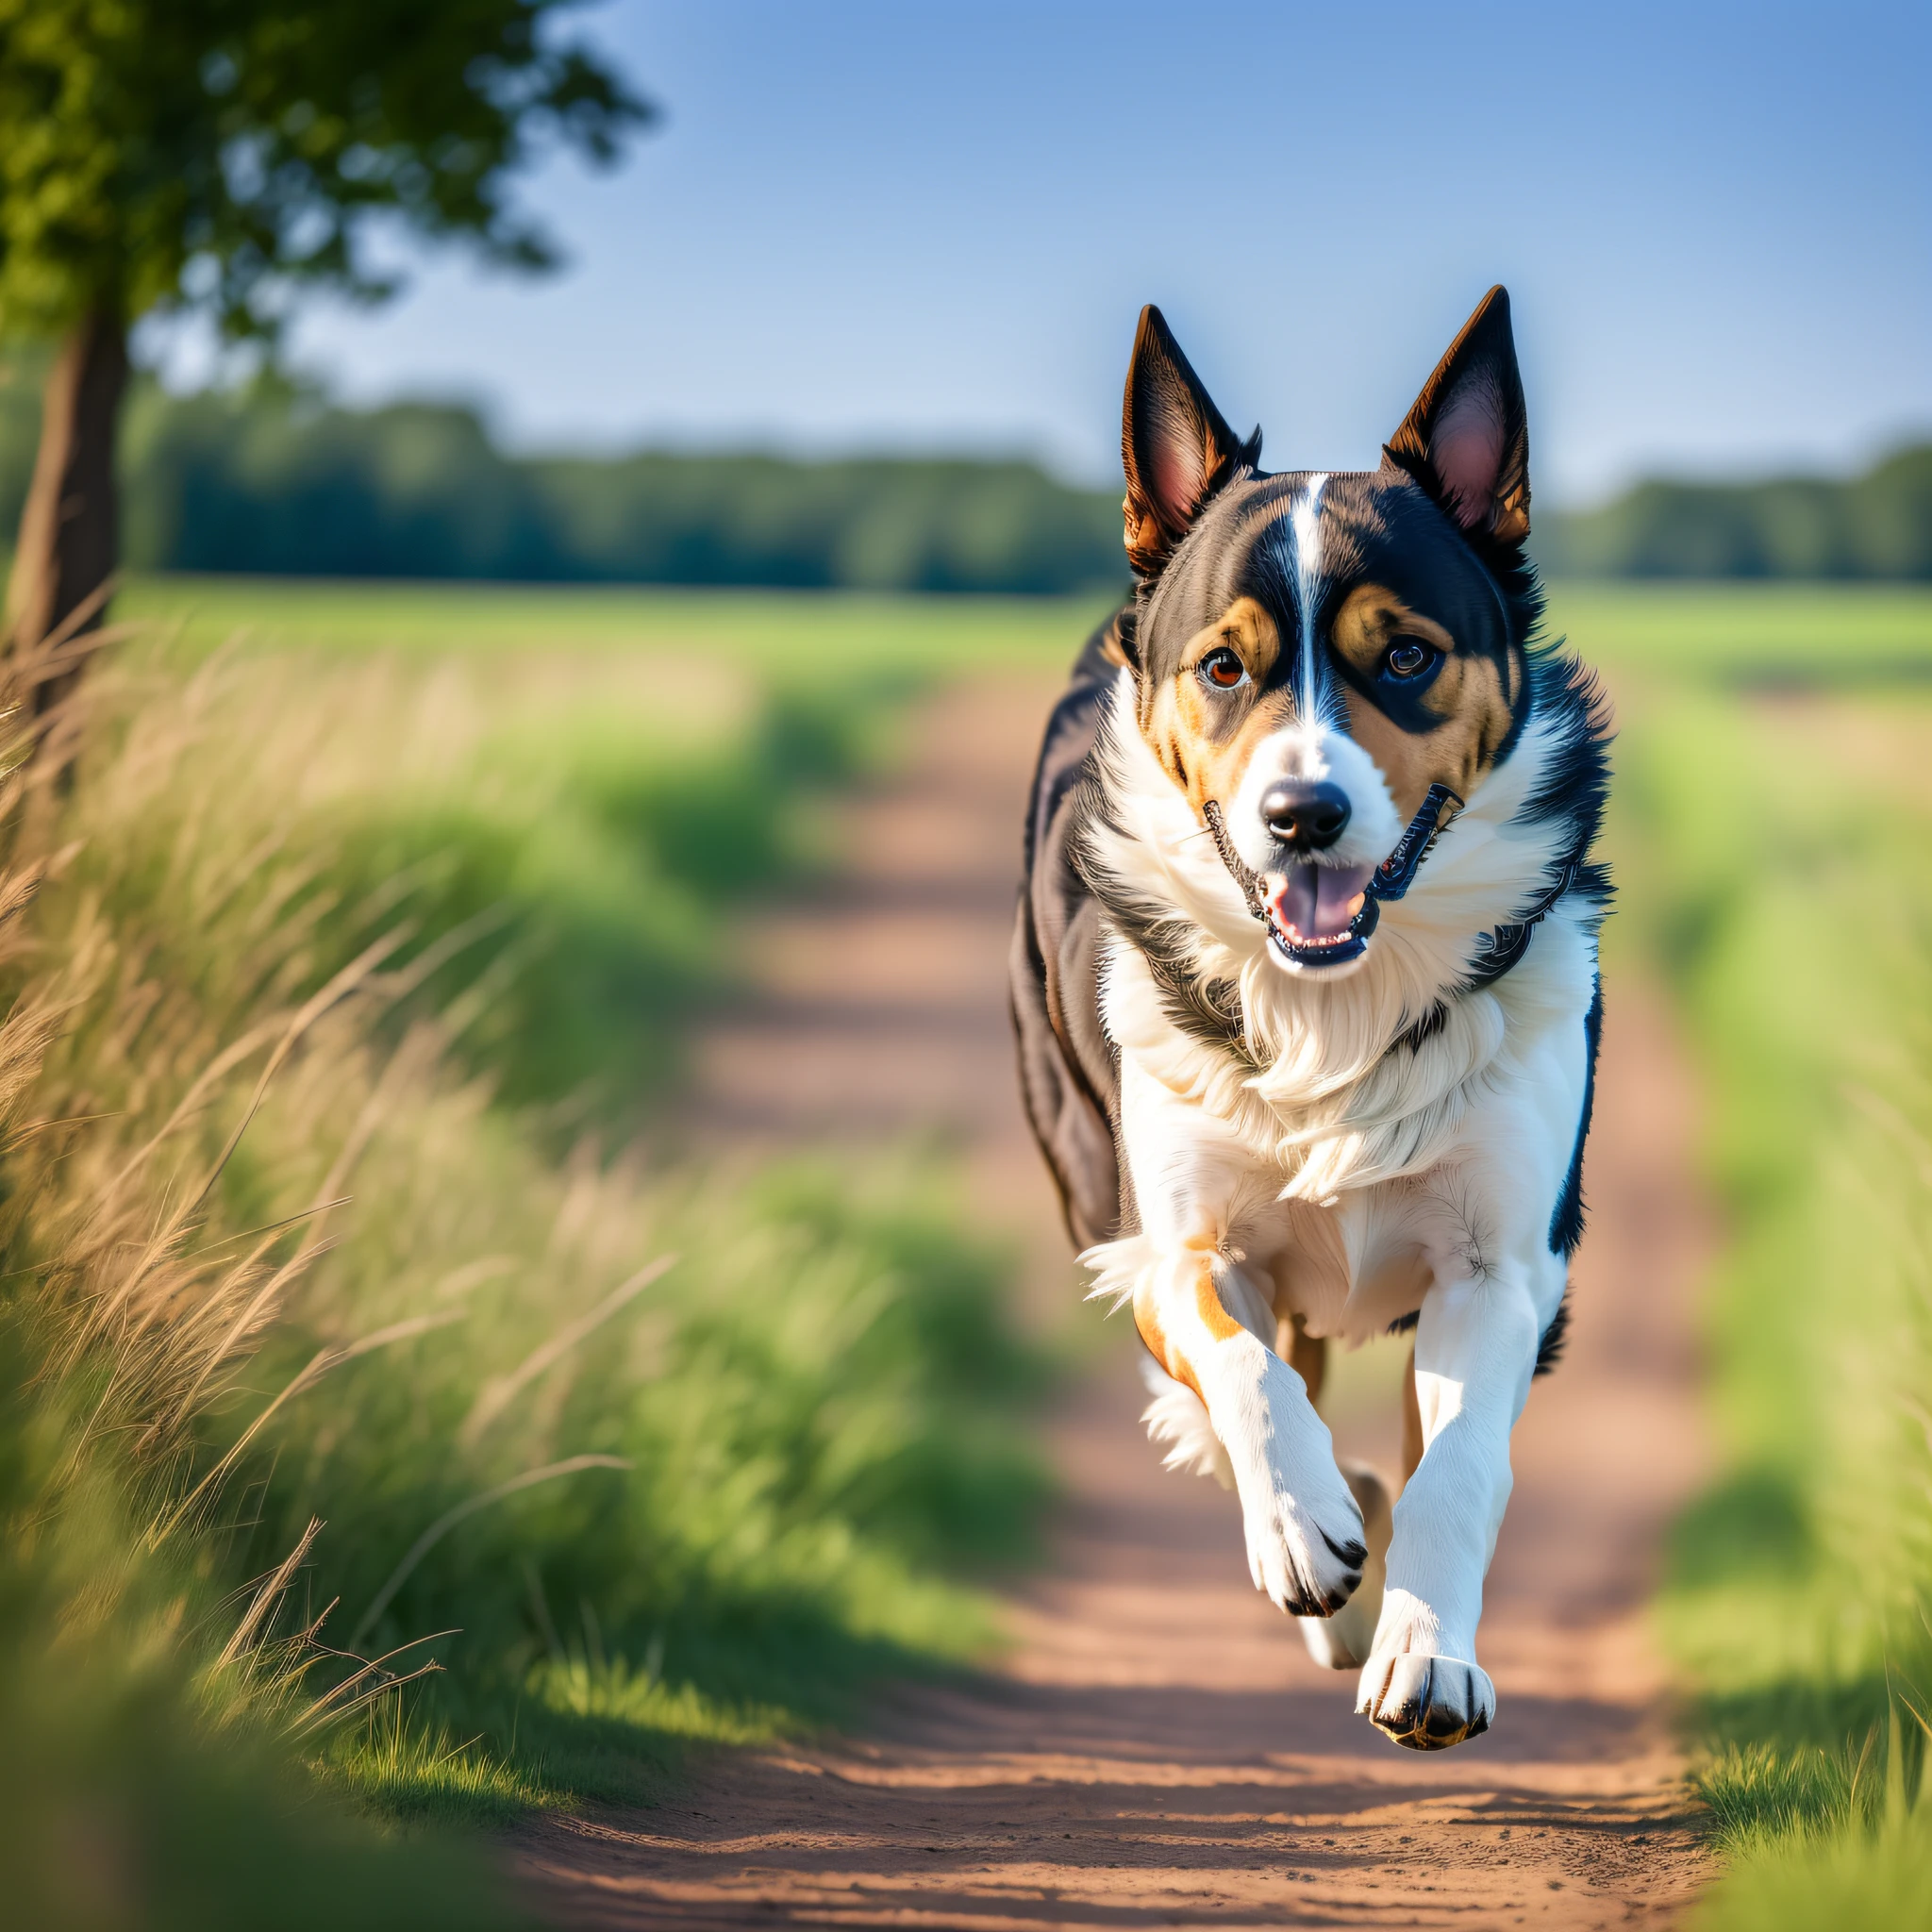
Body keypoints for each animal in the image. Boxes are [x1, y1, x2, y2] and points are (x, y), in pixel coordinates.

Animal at [1012, 286, 1615, 1754]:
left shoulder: (1501, 1269)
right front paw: (1300, 1532)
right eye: (1224, 667)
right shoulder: (1171, 1239)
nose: (1302, 816)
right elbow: (1239, 1368)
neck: (1334, 1000)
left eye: (1404, 654)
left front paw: (1427, 1657)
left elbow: (1456, 1467)